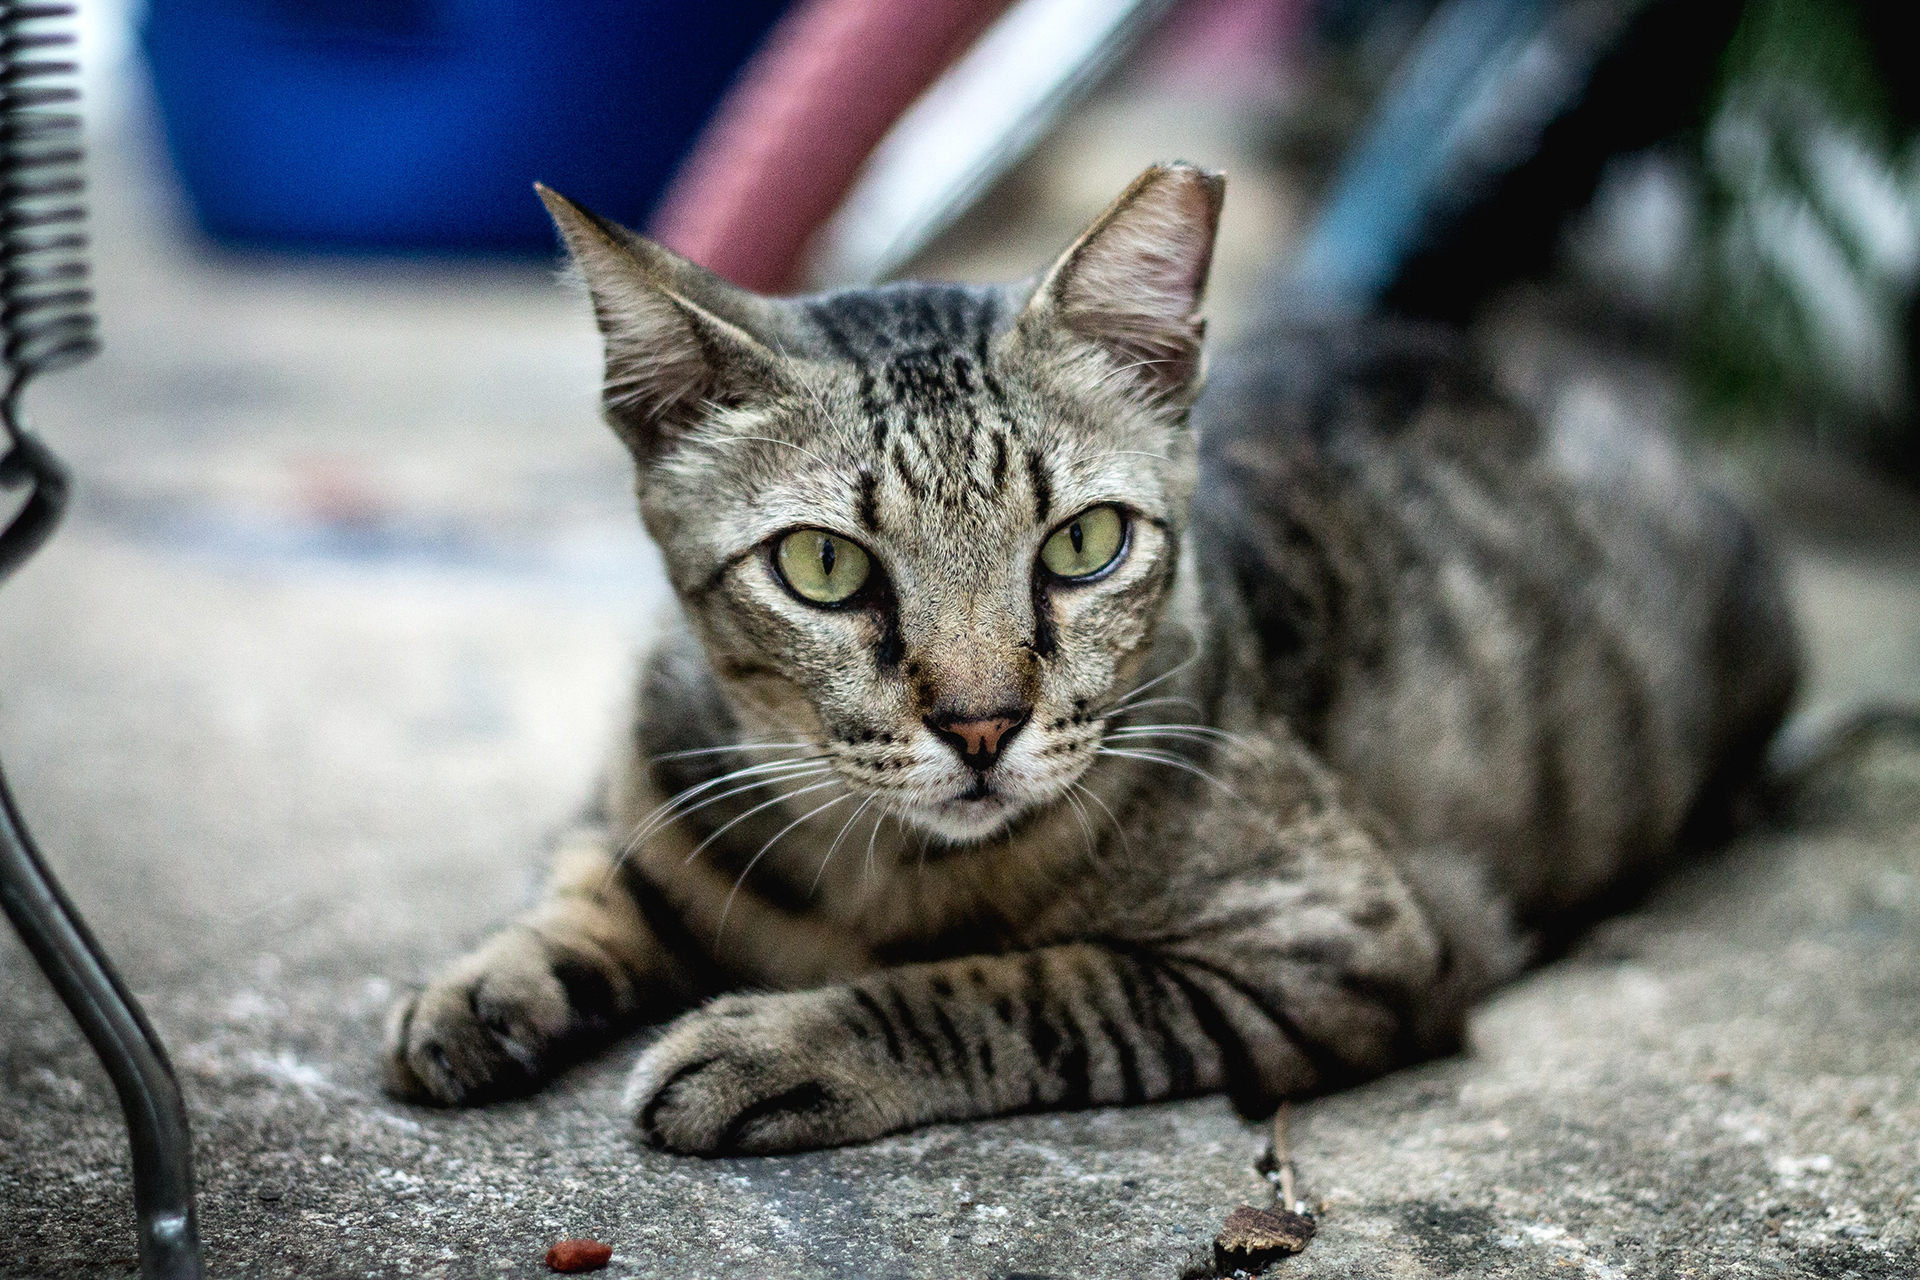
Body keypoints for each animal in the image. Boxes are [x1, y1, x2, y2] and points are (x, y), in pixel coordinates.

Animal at [378, 165, 1797, 1159]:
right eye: (825, 567)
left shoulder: (1341, 939)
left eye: (1085, 543)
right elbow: (588, 873)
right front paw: (487, 979)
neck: (867, 870)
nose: (982, 723)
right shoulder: (639, 771)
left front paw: (789, 1038)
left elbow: (1021, 985)